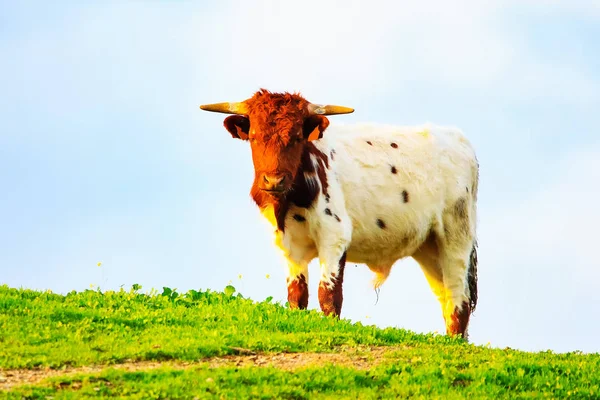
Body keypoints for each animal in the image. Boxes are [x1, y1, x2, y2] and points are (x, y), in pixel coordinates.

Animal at [199, 89, 480, 340]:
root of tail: (460, 140)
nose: (274, 180)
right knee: (445, 297)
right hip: (428, 248)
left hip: (456, 237)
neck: (289, 201)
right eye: (255, 137)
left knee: (459, 298)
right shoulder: (288, 245)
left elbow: (329, 294)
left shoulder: (334, 235)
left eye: (297, 137)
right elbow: (297, 295)